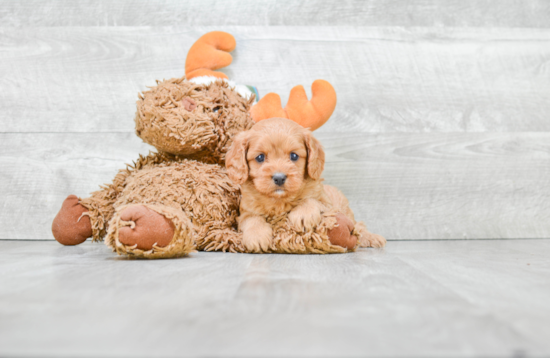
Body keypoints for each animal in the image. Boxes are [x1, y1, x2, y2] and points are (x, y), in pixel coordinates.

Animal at [226, 117, 386, 252]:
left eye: (294, 156)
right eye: (260, 157)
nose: (279, 178)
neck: (280, 200)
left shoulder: (326, 203)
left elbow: (312, 200)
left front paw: (304, 214)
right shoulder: (245, 211)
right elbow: (251, 219)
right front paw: (257, 236)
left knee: (359, 226)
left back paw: (373, 238)